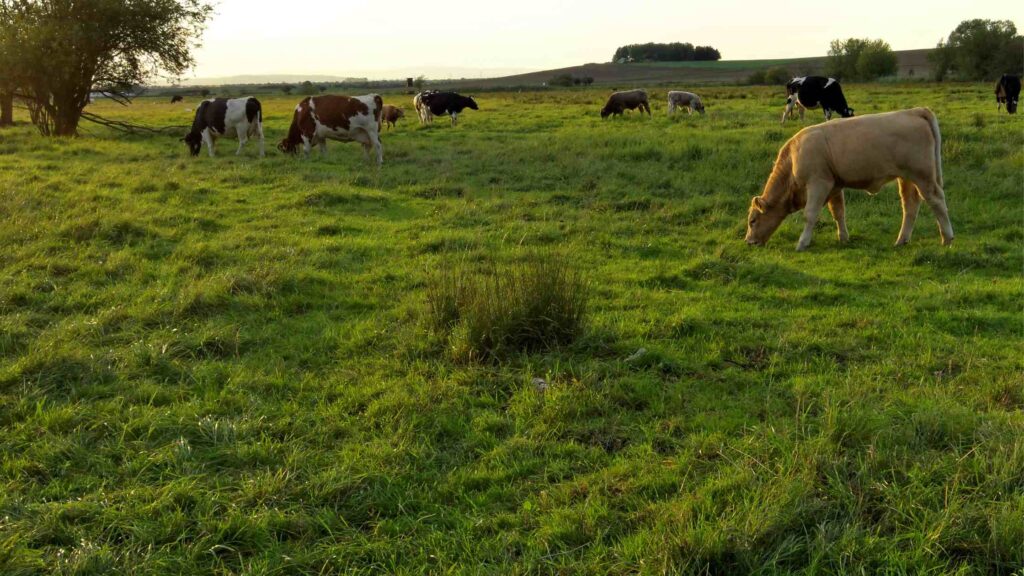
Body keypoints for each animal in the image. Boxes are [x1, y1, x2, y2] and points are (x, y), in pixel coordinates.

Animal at [745, 107, 950, 251]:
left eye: (752, 221)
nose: (748, 241)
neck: (794, 157)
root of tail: (914, 111)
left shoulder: (818, 183)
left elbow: (810, 215)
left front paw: (802, 243)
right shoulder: (835, 185)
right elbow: (838, 212)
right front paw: (843, 238)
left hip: (923, 176)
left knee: (936, 200)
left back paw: (947, 238)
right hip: (906, 178)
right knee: (910, 206)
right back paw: (901, 240)